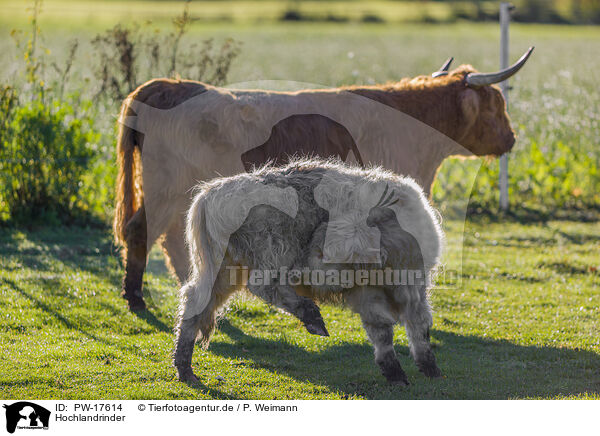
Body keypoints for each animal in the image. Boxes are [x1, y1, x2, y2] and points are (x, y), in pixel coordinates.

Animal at [175, 158, 446, 384]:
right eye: (317, 247)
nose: (302, 271)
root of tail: (211, 193)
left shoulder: (388, 293)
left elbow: (391, 331)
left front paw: (405, 371)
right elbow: (411, 325)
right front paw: (421, 369)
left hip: (223, 269)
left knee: (196, 301)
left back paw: (184, 368)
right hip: (271, 250)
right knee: (262, 285)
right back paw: (311, 315)